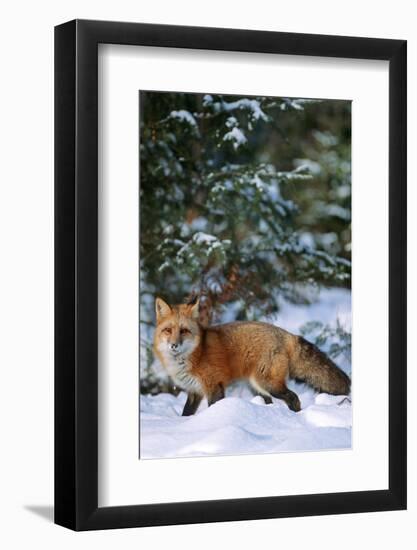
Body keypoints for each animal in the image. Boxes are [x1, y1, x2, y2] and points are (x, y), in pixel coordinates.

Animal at [151, 300, 350, 416]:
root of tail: (285, 333)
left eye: (184, 331)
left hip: (267, 384)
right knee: (271, 402)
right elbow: (186, 413)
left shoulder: (214, 386)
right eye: (168, 330)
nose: (174, 345)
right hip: (256, 387)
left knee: (293, 398)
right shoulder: (195, 391)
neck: (195, 354)